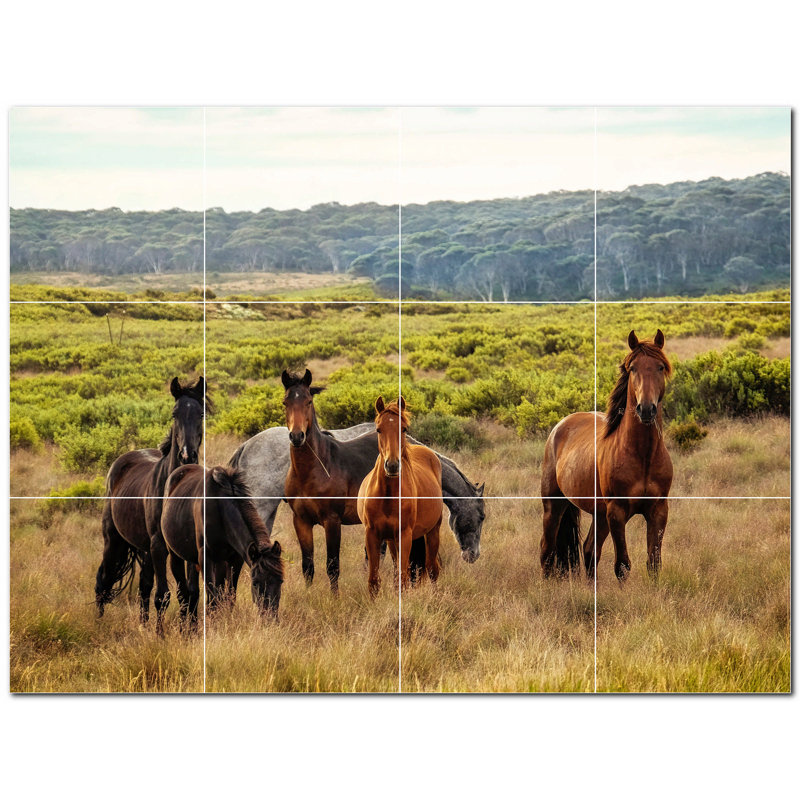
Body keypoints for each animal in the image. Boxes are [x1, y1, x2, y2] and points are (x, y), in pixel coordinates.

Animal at [94, 377, 207, 623]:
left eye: (201, 414)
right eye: (174, 413)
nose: (187, 455)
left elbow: (190, 594)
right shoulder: (159, 546)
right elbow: (163, 596)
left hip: (144, 549)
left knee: (143, 587)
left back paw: (143, 626)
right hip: (114, 541)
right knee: (103, 581)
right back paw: (98, 622)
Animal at [160, 465, 284, 628]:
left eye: (281, 581)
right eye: (255, 583)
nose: (270, 619)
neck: (220, 510)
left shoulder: (235, 559)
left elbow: (229, 596)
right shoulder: (205, 558)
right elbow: (213, 599)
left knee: (194, 592)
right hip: (176, 556)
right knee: (183, 594)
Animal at [358, 397, 443, 597]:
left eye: (403, 428)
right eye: (378, 429)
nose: (392, 465)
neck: (388, 496)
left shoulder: (404, 535)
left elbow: (404, 579)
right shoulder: (372, 534)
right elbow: (374, 581)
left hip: (433, 531)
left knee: (432, 569)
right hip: (391, 540)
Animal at [540, 329, 673, 581]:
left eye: (660, 367)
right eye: (633, 368)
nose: (646, 409)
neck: (642, 455)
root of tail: (560, 426)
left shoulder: (658, 510)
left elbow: (654, 563)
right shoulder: (617, 512)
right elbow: (622, 565)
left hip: (599, 514)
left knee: (589, 550)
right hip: (554, 505)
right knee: (547, 550)